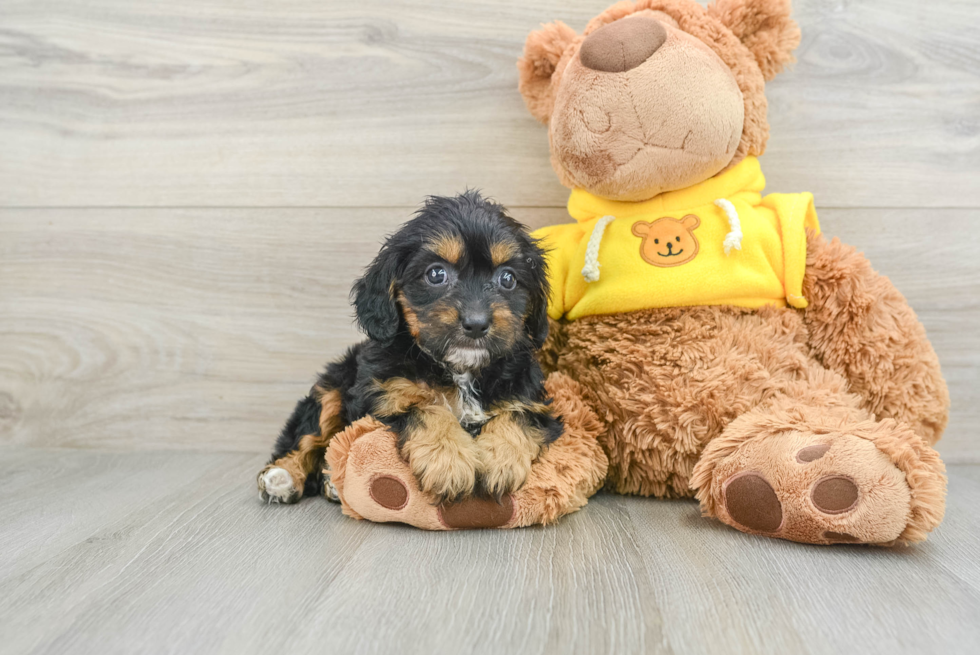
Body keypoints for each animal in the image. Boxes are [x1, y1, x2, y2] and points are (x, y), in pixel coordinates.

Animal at [256, 191, 564, 508]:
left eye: (508, 279)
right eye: (436, 274)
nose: (477, 324)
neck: (461, 371)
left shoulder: (531, 399)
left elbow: (519, 416)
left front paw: (499, 460)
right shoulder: (380, 397)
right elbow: (423, 409)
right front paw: (449, 461)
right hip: (333, 386)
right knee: (307, 435)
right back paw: (283, 476)